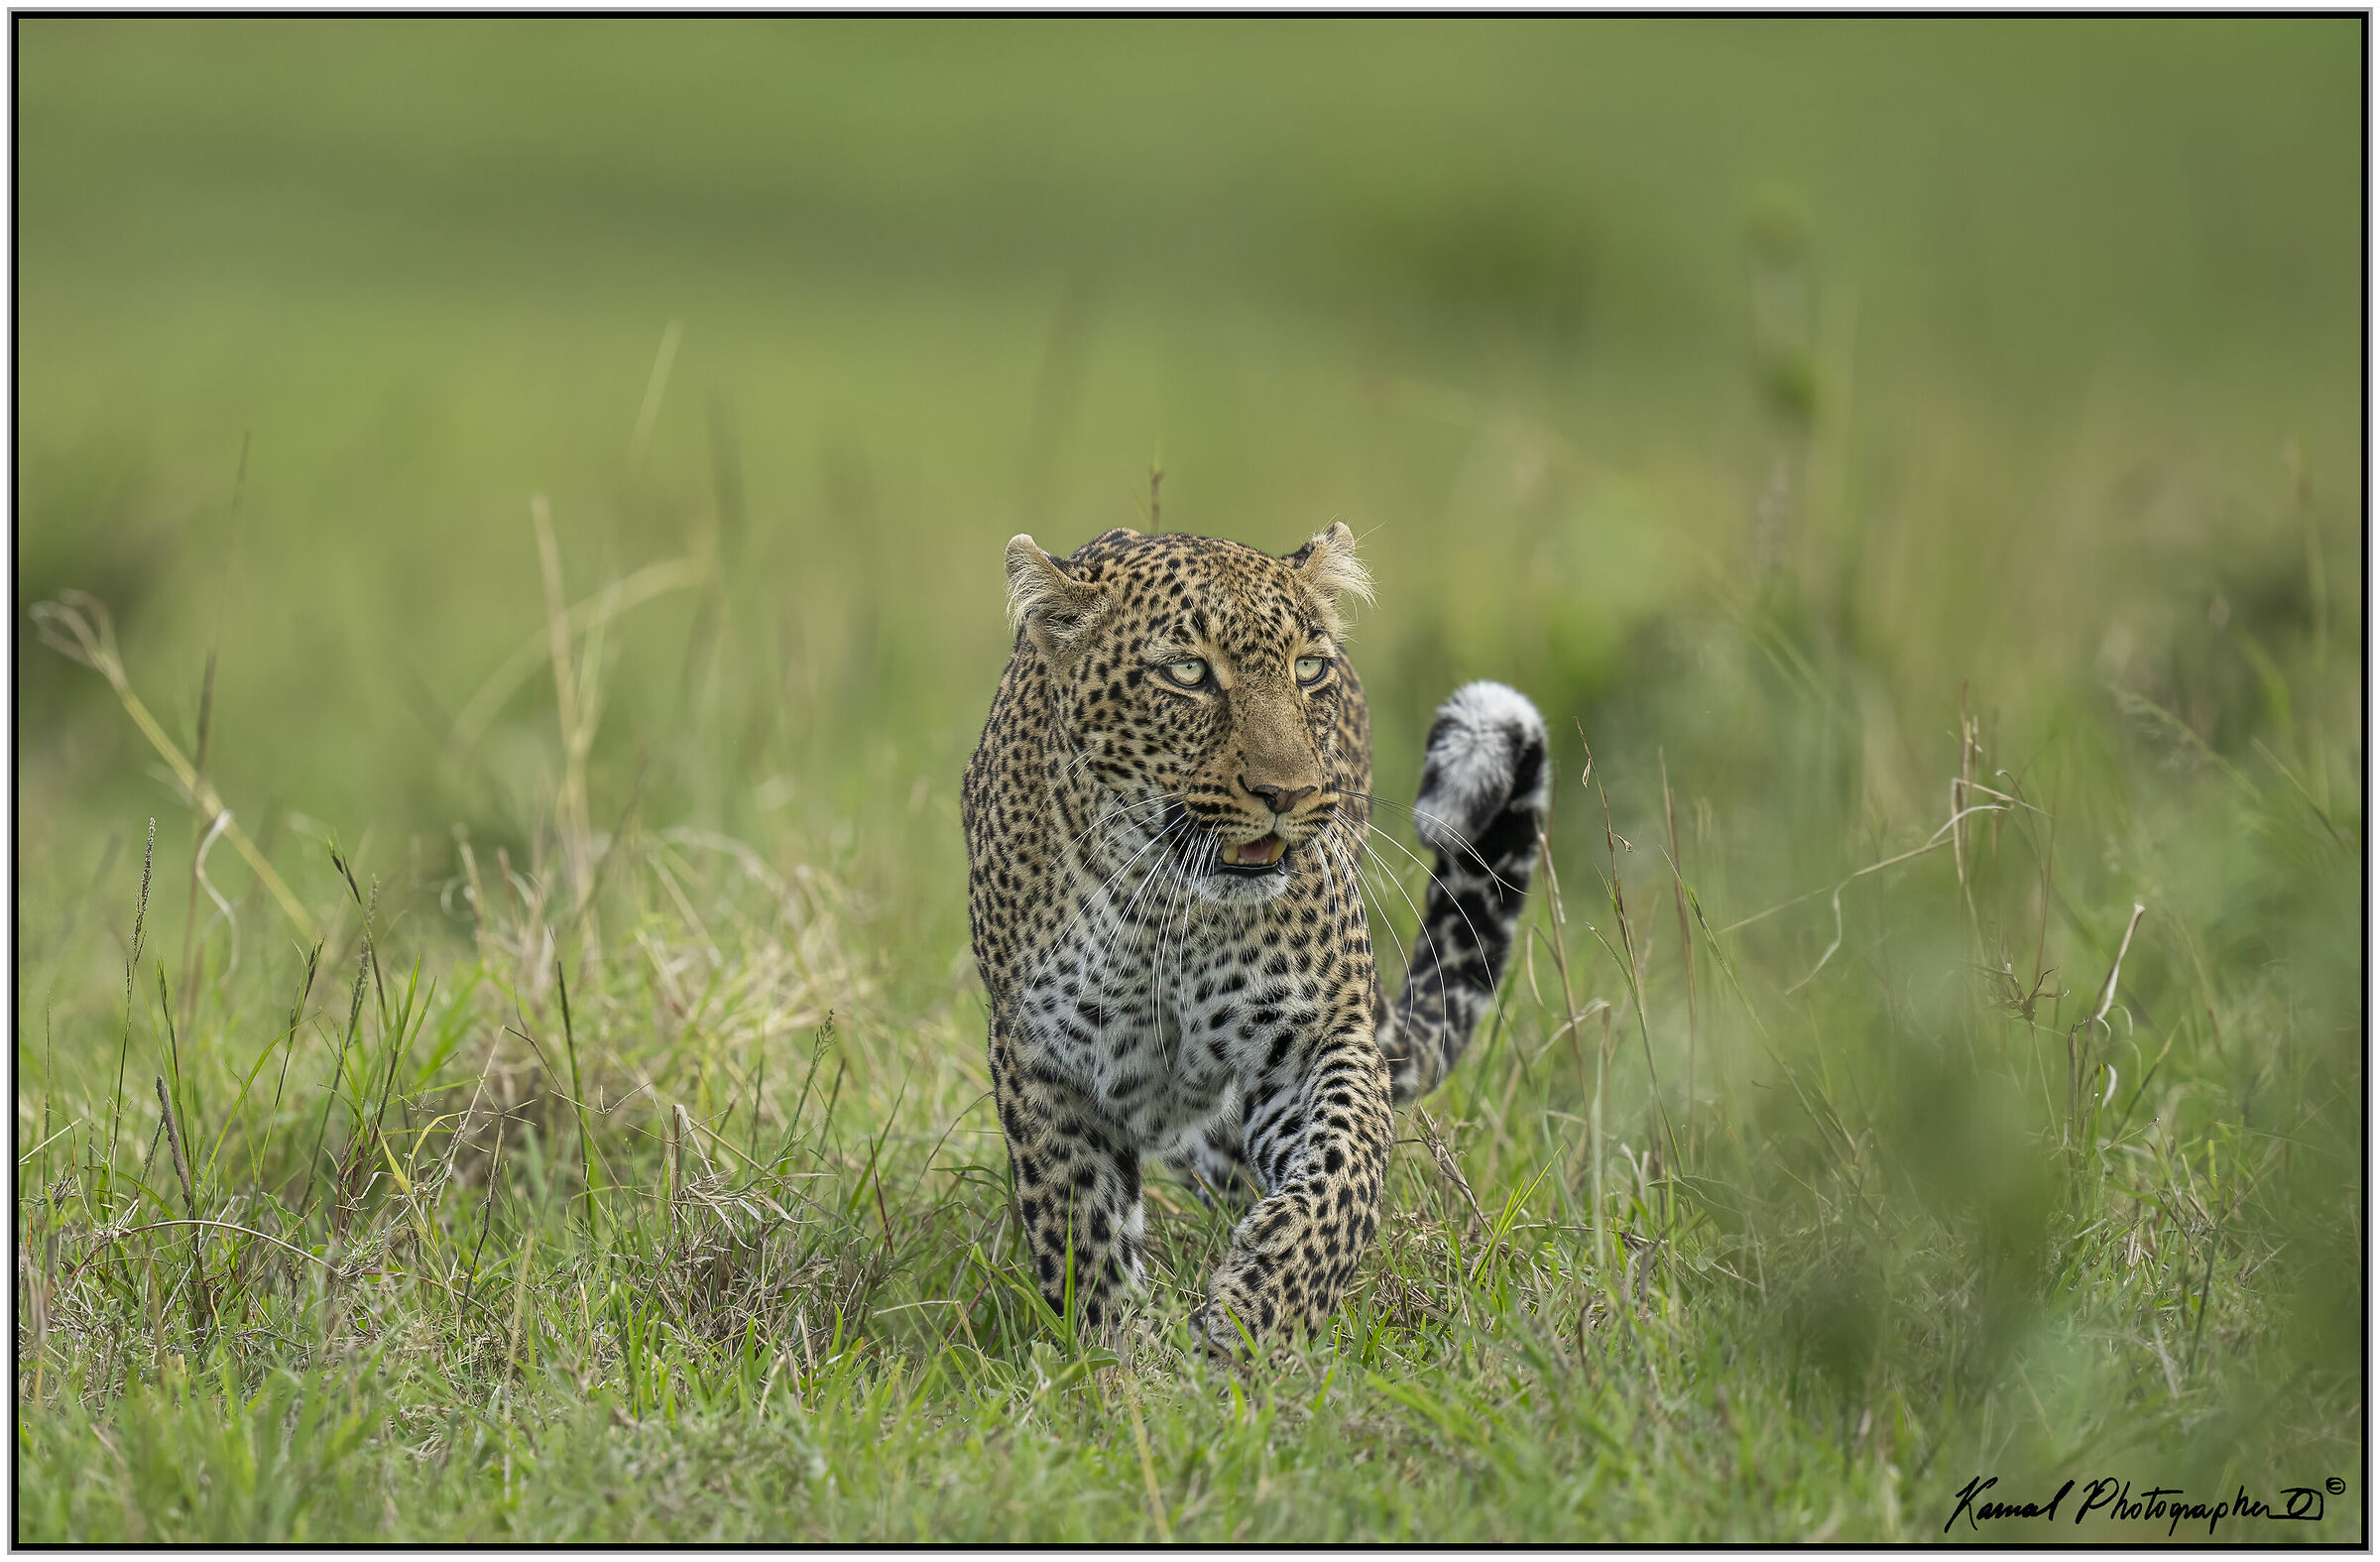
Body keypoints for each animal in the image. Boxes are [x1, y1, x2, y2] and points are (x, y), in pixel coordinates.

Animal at [960, 521, 1549, 1350]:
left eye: (1308, 668)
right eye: (1187, 673)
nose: (1289, 793)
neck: (1164, 913)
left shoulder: (1317, 1038)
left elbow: (1343, 1172)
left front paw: (1257, 1311)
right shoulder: (1044, 1064)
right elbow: (1081, 1232)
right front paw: (1116, 1361)